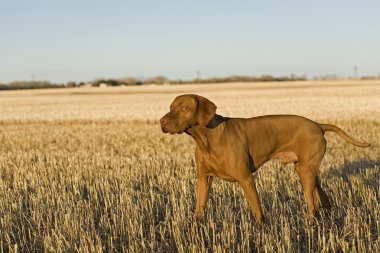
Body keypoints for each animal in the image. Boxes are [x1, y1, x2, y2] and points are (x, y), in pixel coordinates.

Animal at [159, 94, 370, 226]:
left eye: (184, 108)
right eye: (170, 107)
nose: (163, 121)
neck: (207, 138)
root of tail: (318, 124)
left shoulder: (246, 179)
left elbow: (257, 209)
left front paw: (261, 231)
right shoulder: (204, 179)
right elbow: (199, 208)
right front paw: (195, 228)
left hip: (306, 172)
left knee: (312, 203)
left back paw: (312, 224)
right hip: (306, 170)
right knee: (322, 197)